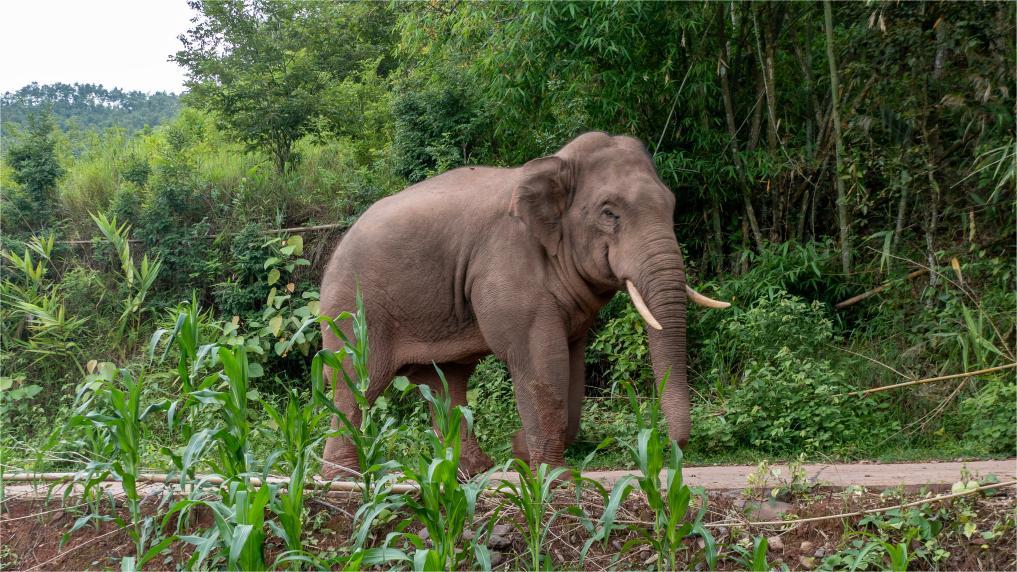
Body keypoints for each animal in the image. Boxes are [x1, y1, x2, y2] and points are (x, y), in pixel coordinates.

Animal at [318, 131, 729, 479]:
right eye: (609, 213)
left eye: (672, 206)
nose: (668, 449)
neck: (557, 165)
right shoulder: (506, 265)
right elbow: (538, 358)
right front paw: (552, 477)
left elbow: (570, 362)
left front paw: (521, 455)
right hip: (352, 310)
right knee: (357, 379)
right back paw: (344, 478)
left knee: (446, 382)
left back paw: (473, 472)